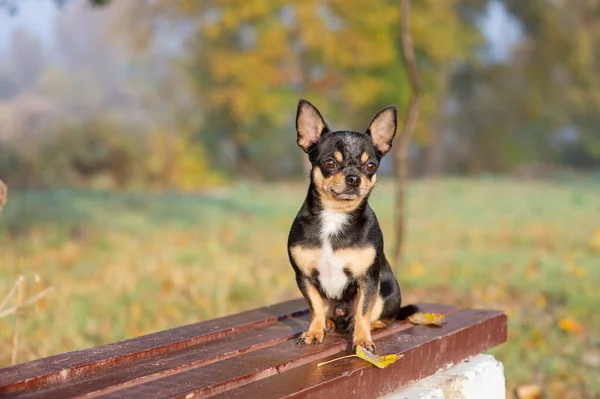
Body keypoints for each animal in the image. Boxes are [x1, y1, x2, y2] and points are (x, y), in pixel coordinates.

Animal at [288, 98, 418, 352]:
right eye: (329, 163)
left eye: (371, 166)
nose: (353, 178)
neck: (335, 215)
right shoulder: (305, 278)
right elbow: (315, 307)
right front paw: (314, 332)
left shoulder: (368, 280)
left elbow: (363, 312)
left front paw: (361, 340)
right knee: (327, 312)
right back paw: (328, 324)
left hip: (386, 291)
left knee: (379, 317)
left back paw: (361, 327)